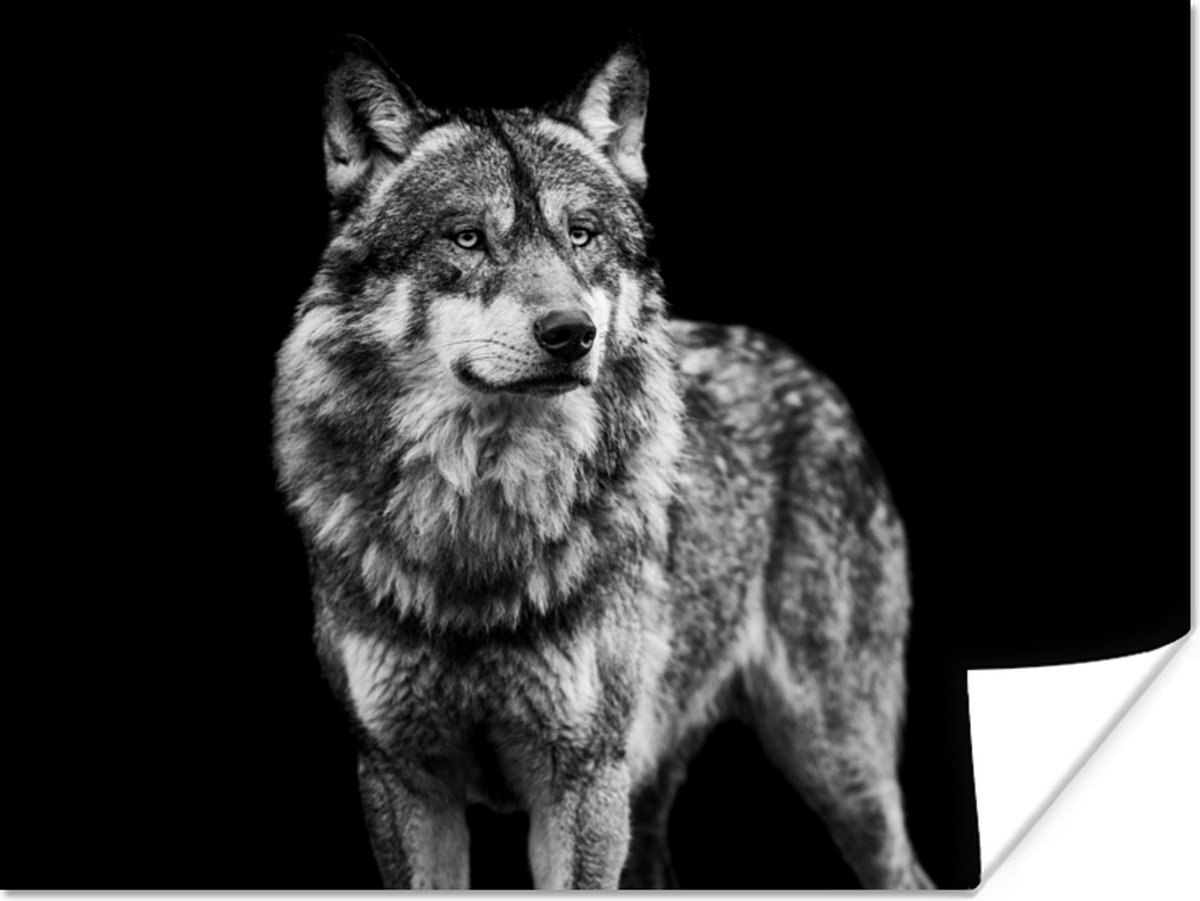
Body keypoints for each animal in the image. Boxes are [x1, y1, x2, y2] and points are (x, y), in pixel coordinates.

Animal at [273, 35, 935, 890]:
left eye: (581, 234)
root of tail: (814, 380)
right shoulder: (401, 779)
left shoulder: (581, 778)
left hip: (834, 762)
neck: (483, 518)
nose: (570, 333)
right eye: (467, 237)